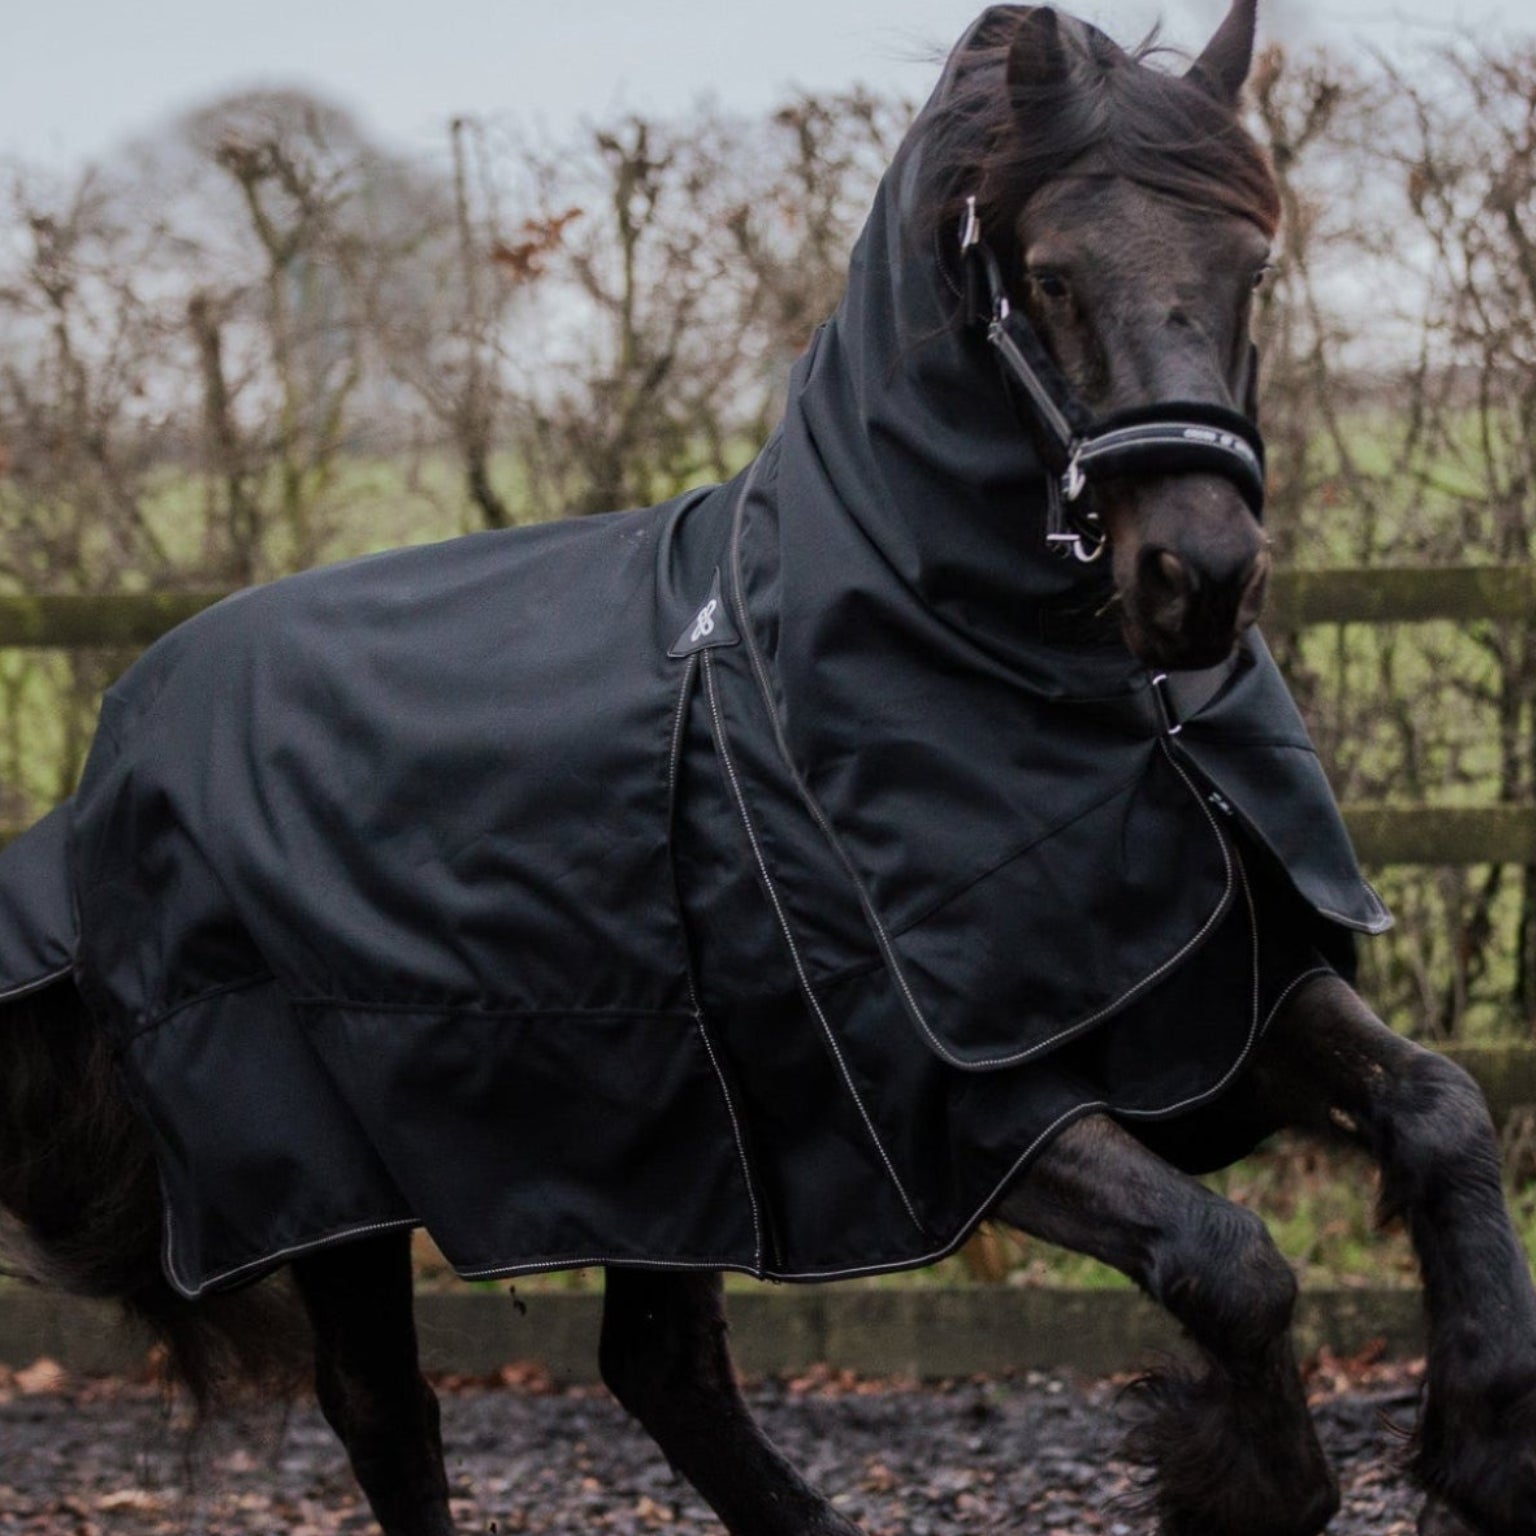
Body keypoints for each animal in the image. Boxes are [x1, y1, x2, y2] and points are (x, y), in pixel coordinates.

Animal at [1, 4, 1533, 1534]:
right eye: (1048, 271)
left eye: (1250, 262)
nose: (1200, 578)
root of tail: (110, 756)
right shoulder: (959, 1109)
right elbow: (1231, 1259)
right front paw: (1258, 1485)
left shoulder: (1210, 989)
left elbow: (1444, 1113)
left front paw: (1485, 1450)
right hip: (334, 1184)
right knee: (389, 1408)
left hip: (667, 1148)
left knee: (660, 1368)